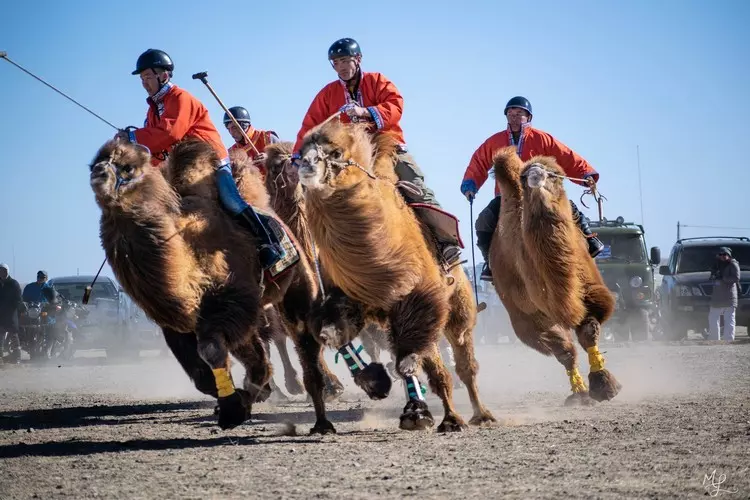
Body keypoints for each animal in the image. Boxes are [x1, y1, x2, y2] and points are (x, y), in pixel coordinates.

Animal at [89, 139, 332, 432]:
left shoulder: (229, 302)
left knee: (304, 339)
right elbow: (202, 375)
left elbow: (213, 350)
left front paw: (234, 408)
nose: (98, 174)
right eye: (94, 163)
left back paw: (321, 416)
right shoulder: (179, 325)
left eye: (127, 167)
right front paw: (240, 400)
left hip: (295, 284)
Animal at [296, 119, 500, 432]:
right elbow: (336, 330)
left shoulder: (420, 299)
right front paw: (377, 383)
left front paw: (446, 418)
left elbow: (415, 356)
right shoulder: (346, 302)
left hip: (460, 310)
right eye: (302, 150)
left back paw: (477, 414)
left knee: (464, 363)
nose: (305, 165)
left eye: (336, 152)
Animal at [488, 146, 624, 404]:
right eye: (524, 177)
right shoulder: (533, 319)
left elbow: (589, 333)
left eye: (555, 174)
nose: (536, 176)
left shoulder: (591, 293)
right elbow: (565, 352)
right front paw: (583, 391)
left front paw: (603, 384)